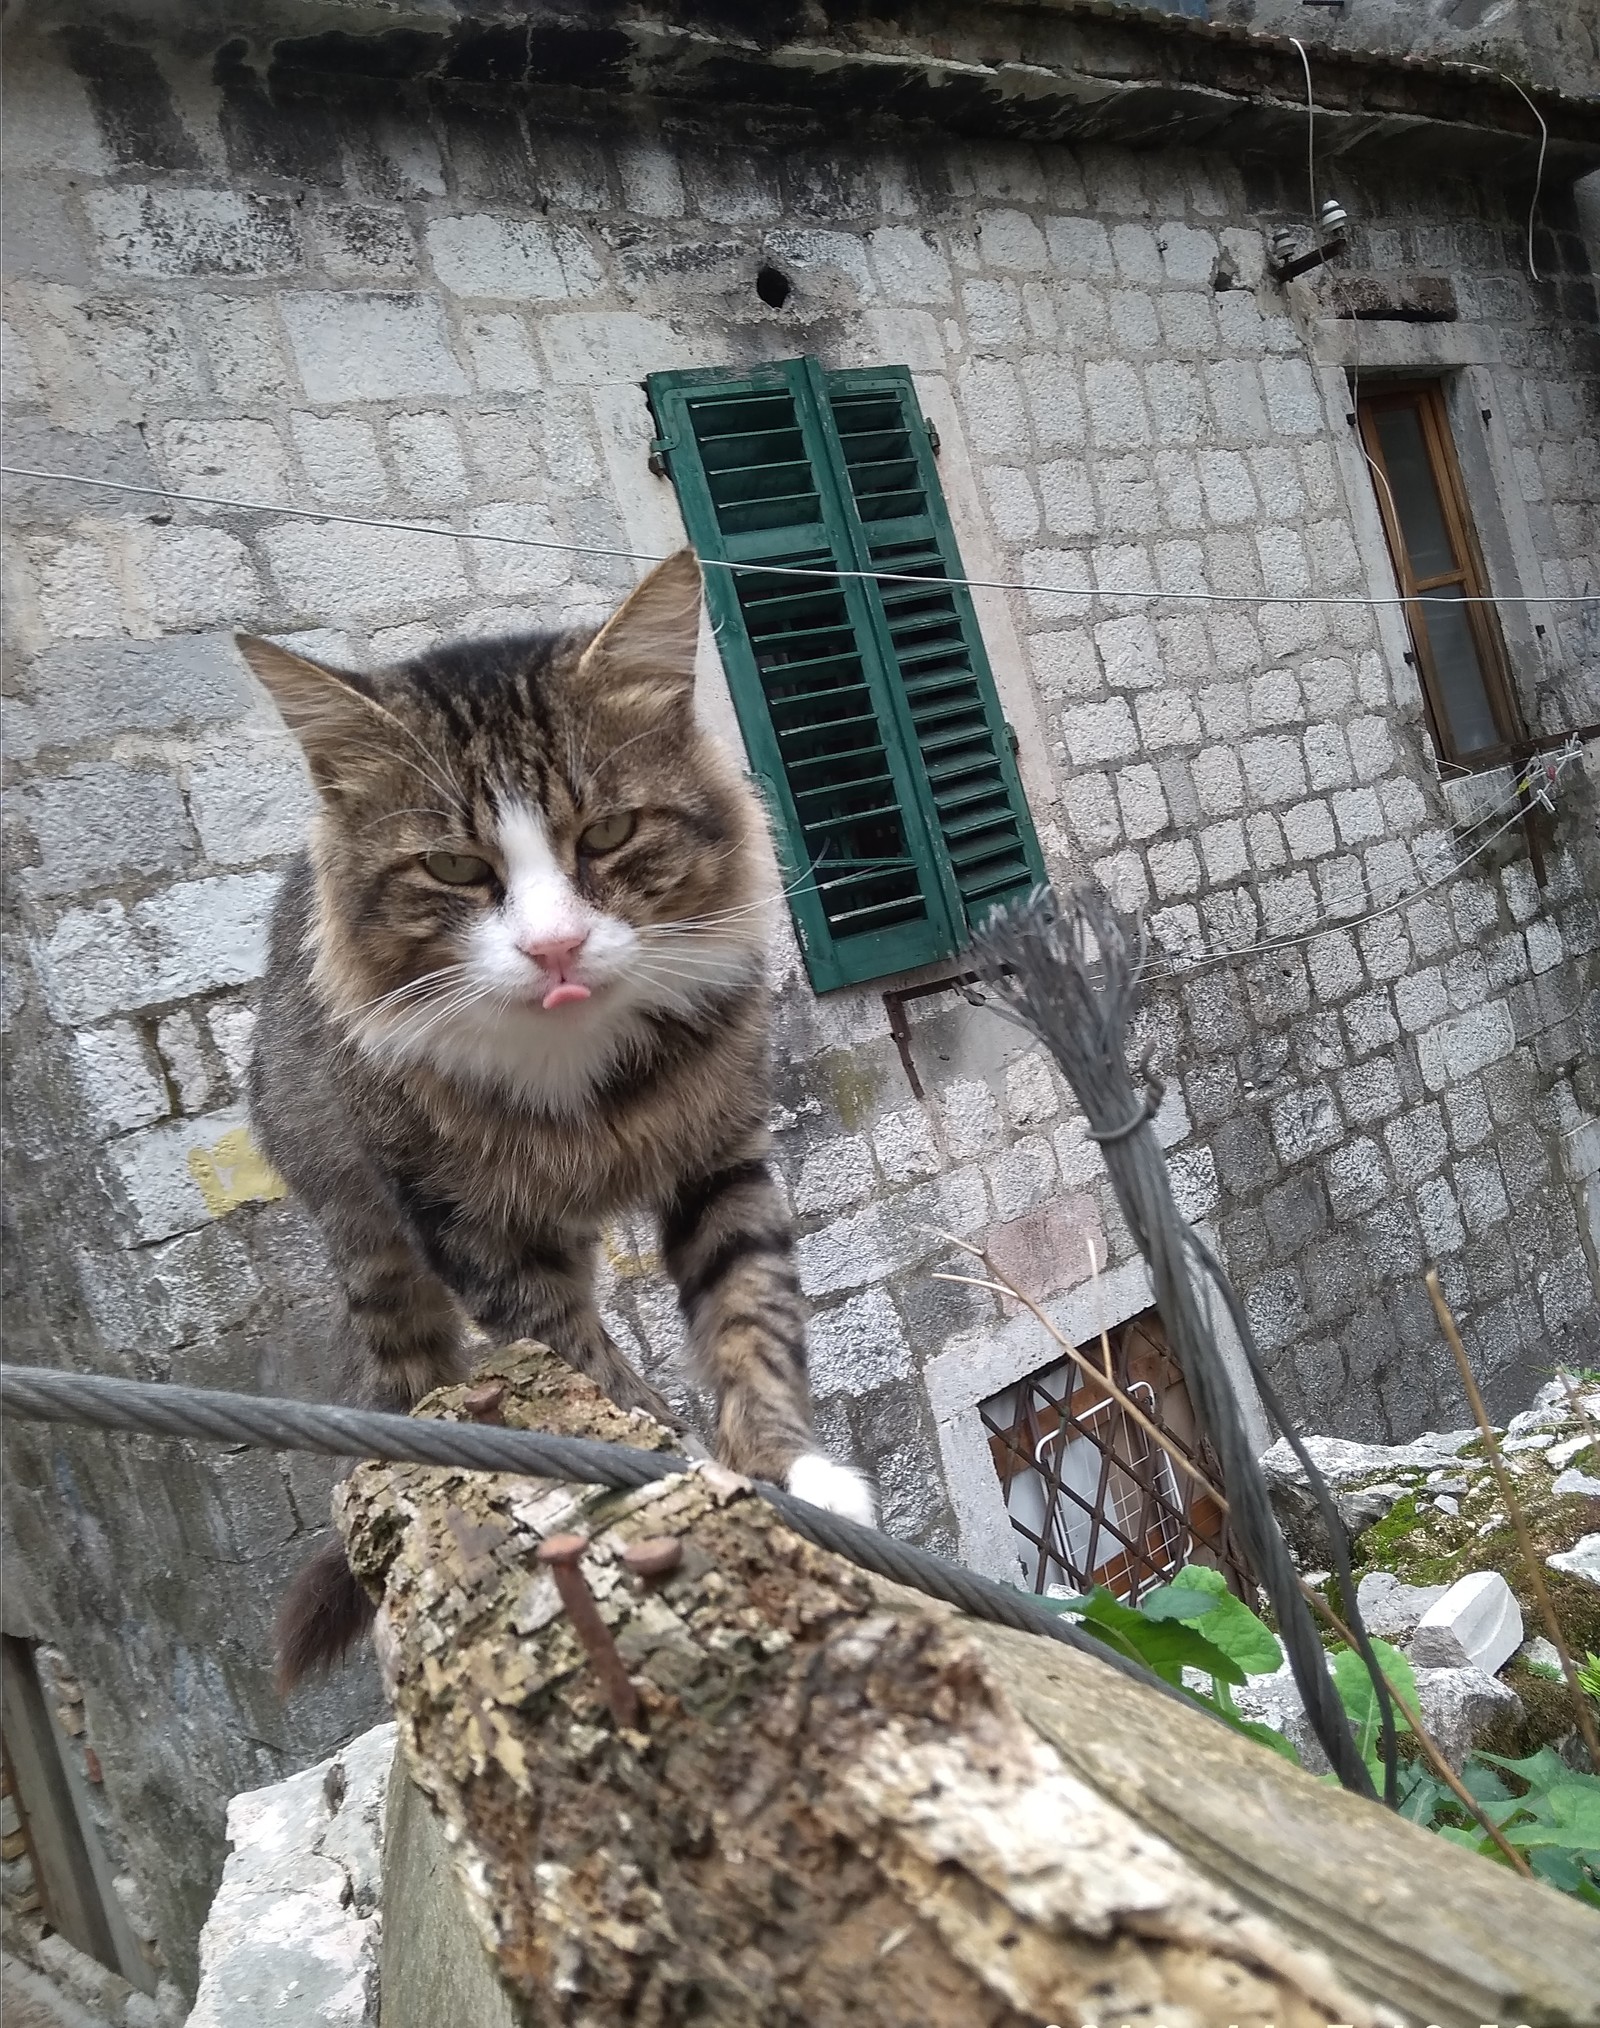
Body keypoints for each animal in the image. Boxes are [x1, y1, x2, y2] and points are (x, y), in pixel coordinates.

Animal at [240, 551, 871, 1679]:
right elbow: (586, 1368)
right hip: (366, 1203)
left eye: (609, 832)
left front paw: (791, 1472)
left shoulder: (722, 1163)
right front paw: (673, 1456)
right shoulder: (480, 1233)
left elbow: (753, 1320)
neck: (584, 1085)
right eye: (454, 866)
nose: (554, 949)